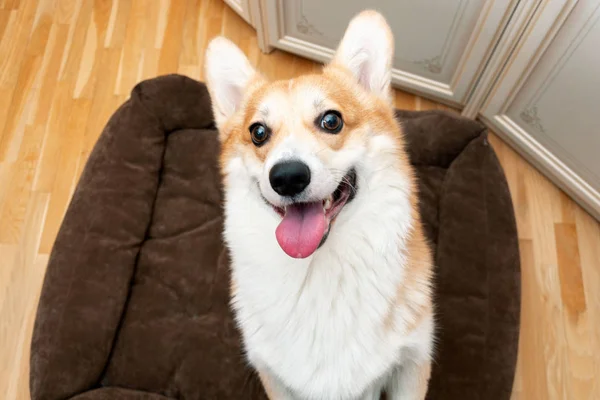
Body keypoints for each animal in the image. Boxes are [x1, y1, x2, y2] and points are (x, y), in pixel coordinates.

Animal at [204, 9, 434, 400]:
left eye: (331, 120)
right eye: (258, 132)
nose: (287, 177)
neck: (316, 273)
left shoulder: (412, 362)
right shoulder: (274, 375)